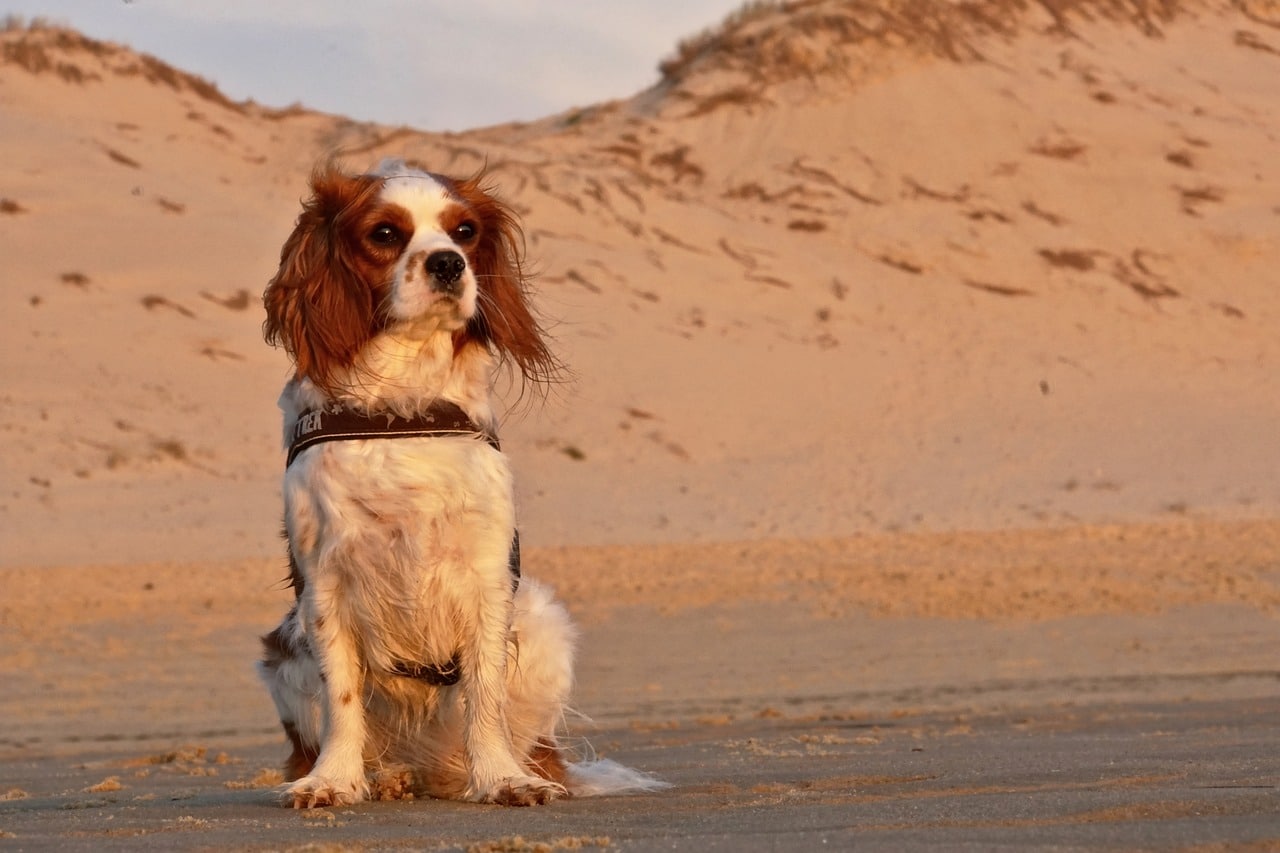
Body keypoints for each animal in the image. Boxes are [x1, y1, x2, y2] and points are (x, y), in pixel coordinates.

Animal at [256, 157, 665, 804]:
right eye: (385, 234)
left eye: (465, 231)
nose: (448, 263)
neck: (404, 405)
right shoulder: (322, 582)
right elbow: (341, 697)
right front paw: (334, 780)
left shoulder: (487, 576)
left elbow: (484, 695)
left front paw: (501, 779)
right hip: (283, 651)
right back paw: (386, 777)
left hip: (542, 619)